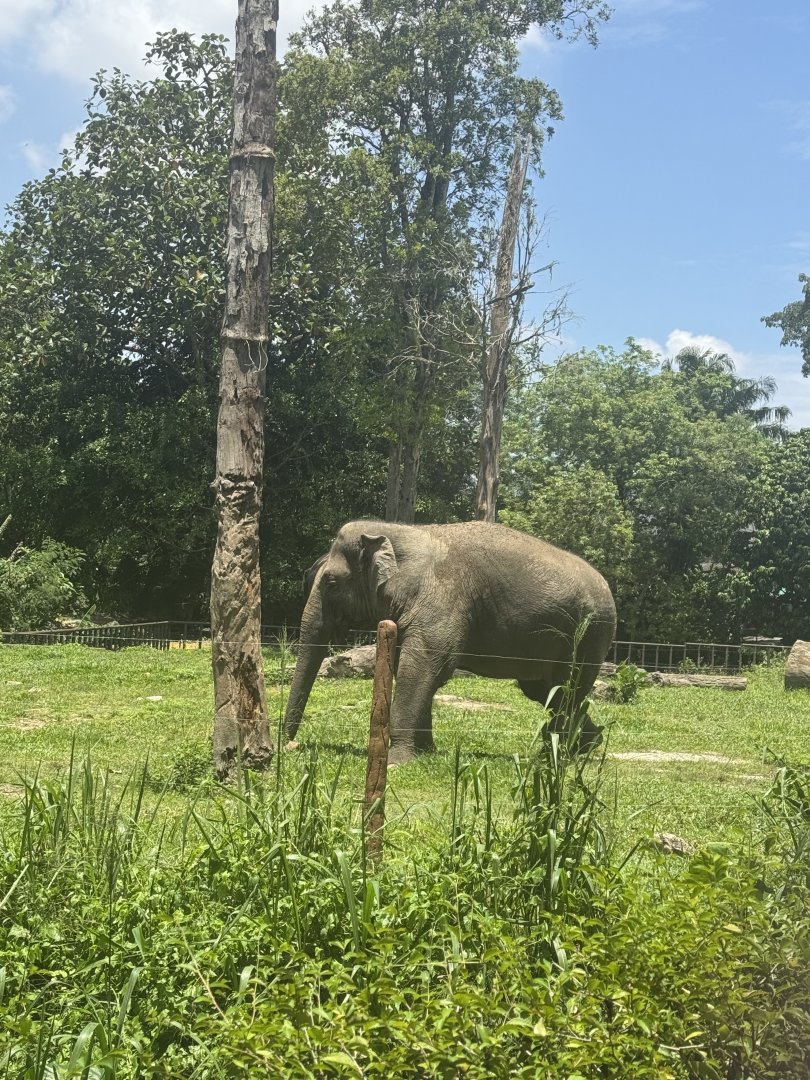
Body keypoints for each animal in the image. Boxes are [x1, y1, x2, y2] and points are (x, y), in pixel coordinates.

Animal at [284, 520, 617, 764]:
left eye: (331, 583)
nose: (291, 745)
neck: (401, 532)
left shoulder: (442, 598)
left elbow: (423, 666)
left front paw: (397, 761)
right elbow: (418, 671)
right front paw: (426, 753)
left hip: (590, 634)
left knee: (567, 689)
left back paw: (556, 757)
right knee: (547, 691)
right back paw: (584, 746)